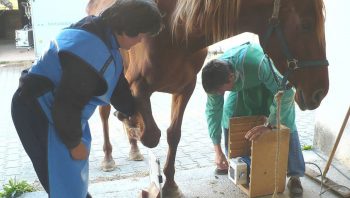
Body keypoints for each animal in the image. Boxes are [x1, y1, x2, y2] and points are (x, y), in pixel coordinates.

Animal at [87, 0, 328, 196]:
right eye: (306, 25)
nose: (321, 92)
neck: (175, 31)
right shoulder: (136, 86)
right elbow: (151, 135)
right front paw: (133, 124)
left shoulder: (185, 89)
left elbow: (172, 134)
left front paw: (170, 184)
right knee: (104, 113)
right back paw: (109, 157)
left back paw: (134, 148)